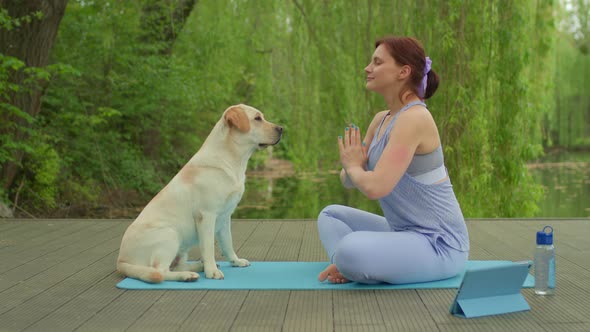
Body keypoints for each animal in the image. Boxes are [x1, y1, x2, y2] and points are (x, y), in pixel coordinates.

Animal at [118, 104, 284, 282]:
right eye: (257, 118)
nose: (281, 128)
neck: (231, 160)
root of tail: (121, 260)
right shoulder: (207, 215)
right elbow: (209, 246)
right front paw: (212, 272)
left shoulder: (225, 216)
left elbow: (228, 243)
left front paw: (236, 261)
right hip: (170, 235)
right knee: (160, 272)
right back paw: (188, 275)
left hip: (181, 248)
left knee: (176, 265)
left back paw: (197, 267)